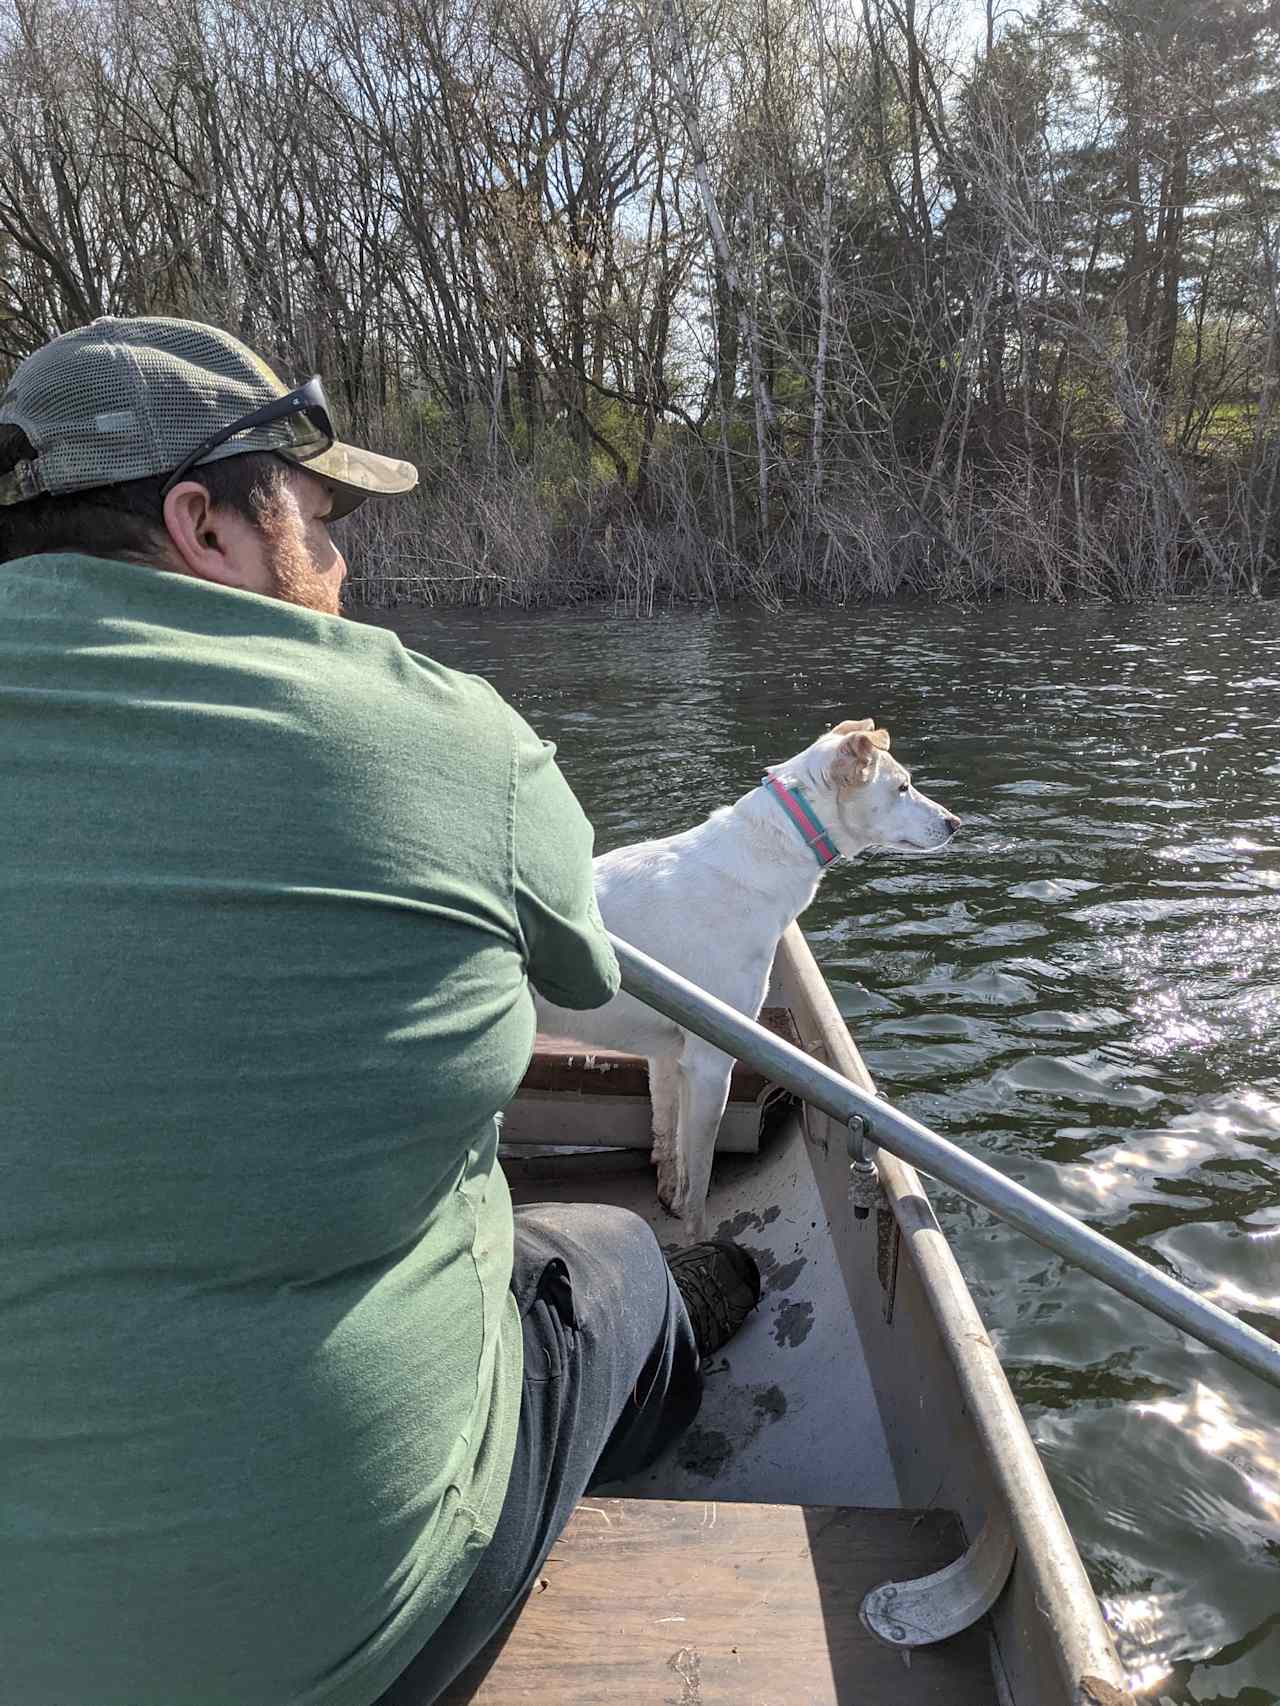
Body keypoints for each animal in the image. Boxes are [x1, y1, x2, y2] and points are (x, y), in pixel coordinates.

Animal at [532, 713, 962, 1235]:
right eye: (902, 786)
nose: (956, 823)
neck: (767, 855)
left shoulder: (668, 1057)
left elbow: (669, 1143)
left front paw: (668, 1199)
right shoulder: (712, 1063)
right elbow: (698, 1183)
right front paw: (695, 1243)